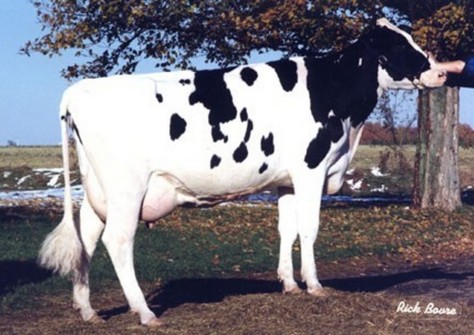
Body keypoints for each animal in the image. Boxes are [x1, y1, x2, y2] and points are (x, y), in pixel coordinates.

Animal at [39, 19, 446, 328]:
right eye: (398, 45)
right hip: (127, 188)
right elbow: (310, 228)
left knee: (86, 238)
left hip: (98, 189)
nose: (442, 71)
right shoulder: (311, 168)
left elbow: (288, 229)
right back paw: (145, 312)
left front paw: (289, 284)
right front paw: (314, 285)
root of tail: (80, 89)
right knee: (117, 241)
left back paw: (88, 310)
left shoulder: (286, 180)